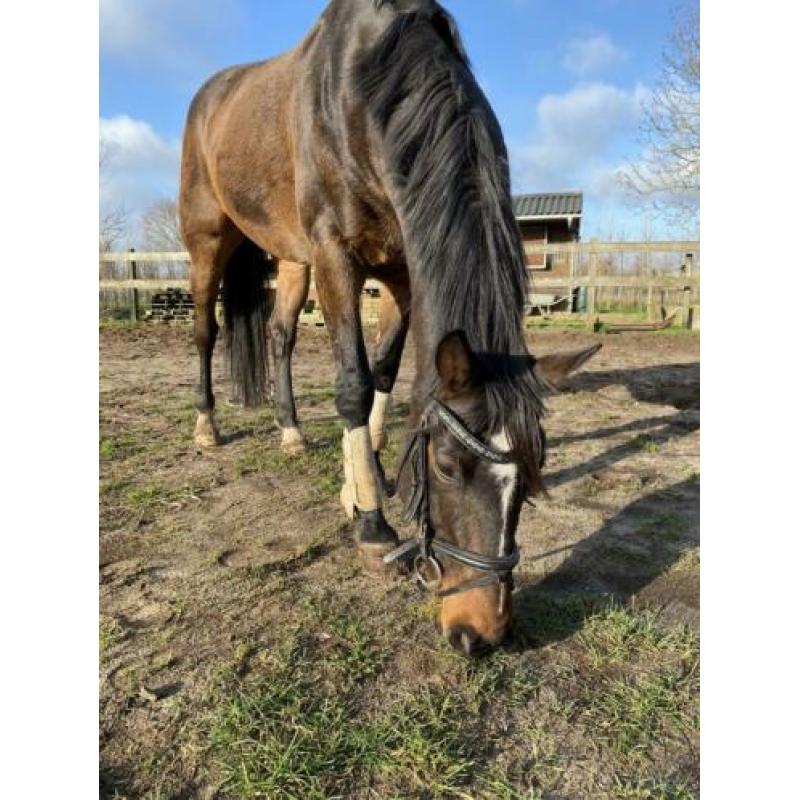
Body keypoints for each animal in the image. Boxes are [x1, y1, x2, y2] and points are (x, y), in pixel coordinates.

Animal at [179, 0, 600, 655]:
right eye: (447, 466)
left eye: (533, 475)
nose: (482, 631)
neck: (366, 90)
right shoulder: (337, 254)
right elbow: (353, 383)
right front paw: (373, 523)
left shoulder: (401, 266)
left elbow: (383, 371)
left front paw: (360, 486)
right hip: (208, 241)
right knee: (205, 331)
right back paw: (207, 427)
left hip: (293, 258)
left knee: (281, 336)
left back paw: (291, 431)